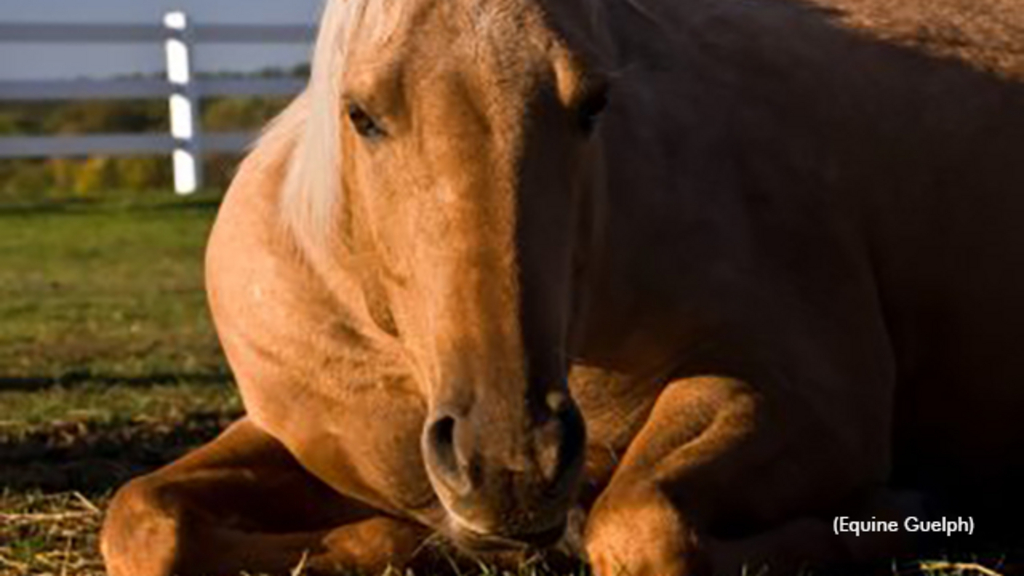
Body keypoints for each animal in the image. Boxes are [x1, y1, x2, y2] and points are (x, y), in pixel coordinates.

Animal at [101, 0, 1024, 569]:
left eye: (593, 103)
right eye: (360, 113)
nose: (511, 462)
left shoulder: (811, 399)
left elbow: (640, 528)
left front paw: (894, 514)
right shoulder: (299, 436)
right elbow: (143, 522)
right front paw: (396, 542)